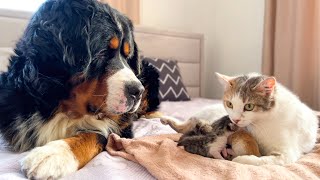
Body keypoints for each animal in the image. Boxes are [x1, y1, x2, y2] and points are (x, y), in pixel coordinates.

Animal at [0, 0, 159, 179]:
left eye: (128, 56)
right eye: (102, 52)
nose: (137, 91)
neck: (61, 107)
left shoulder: (121, 128)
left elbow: (95, 134)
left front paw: (54, 154)